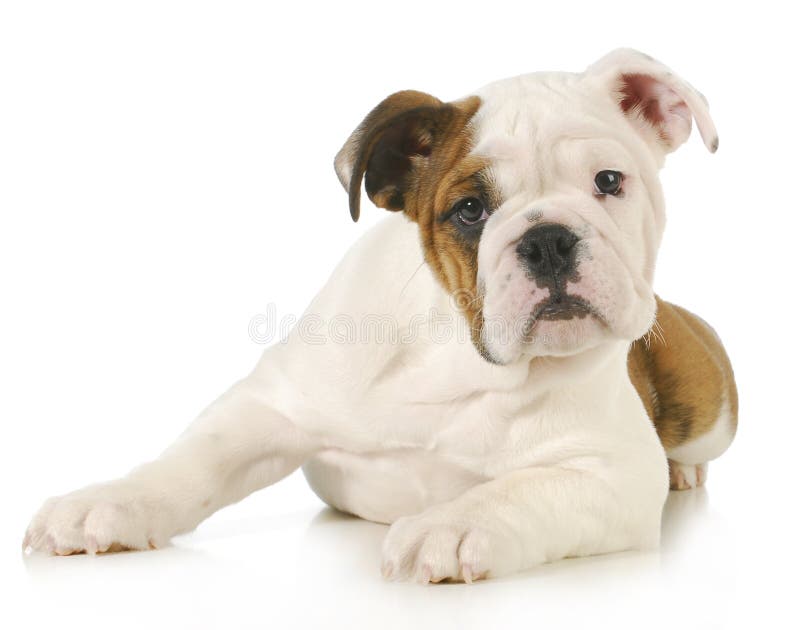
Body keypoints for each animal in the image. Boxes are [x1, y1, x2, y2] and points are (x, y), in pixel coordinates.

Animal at [25, 50, 736, 588]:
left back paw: (684, 469)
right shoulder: (270, 406)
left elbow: (520, 491)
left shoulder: (611, 470)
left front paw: (453, 525)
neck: (458, 352)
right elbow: (193, 462)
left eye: (609, 181)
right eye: (470, 210)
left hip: (714, 414)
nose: (548, 240)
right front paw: (106, 502)